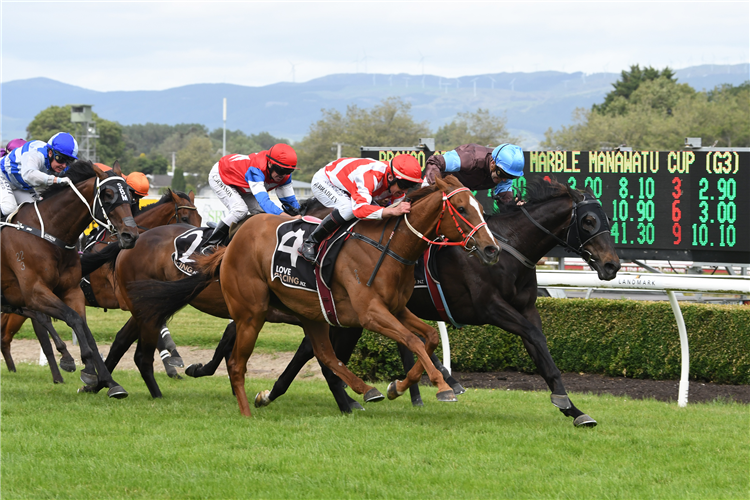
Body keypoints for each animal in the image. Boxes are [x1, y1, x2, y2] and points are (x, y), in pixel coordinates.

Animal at [0, 160, 140, 394]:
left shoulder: (72, 291)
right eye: (107, 194)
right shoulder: (35, 291)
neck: (50, 235)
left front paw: (109, 382)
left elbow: (84, 328)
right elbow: (72, 318)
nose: (131, 235)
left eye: (130, 195)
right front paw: (86, 368)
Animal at [126, 176, 502, 414]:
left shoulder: (395, 309)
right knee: (244, 359)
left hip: (310, 314)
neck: (388, 247)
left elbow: (427, 339)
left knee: (325, 354)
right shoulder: (370, 313)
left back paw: (364, 390)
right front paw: (440, 386)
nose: (491, 249)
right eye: (463, 209)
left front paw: (398, 385)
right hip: (252, 312)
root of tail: (232, 242)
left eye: (481, 208)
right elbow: (412, 341)